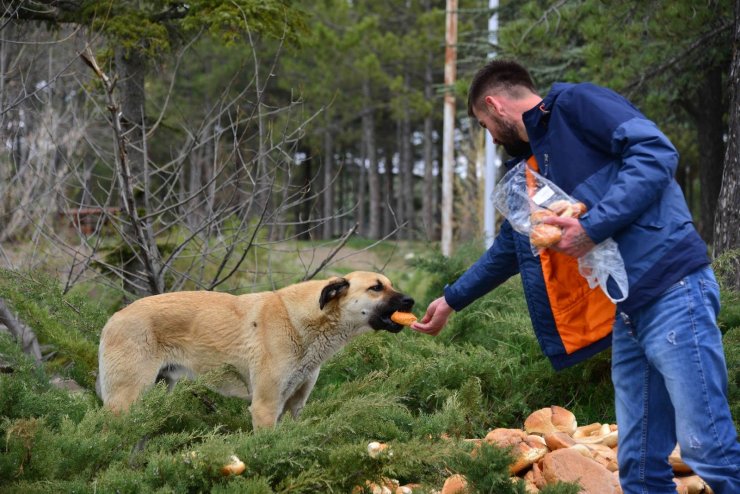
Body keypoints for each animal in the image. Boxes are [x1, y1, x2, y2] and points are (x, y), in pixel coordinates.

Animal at [95, 270, 414, 428]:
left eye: (389, 284)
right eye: (376, 288)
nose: (410, 300)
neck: (304, 320)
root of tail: (113, 318)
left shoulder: (292, 407)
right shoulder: (265, 407)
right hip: (126, 401)